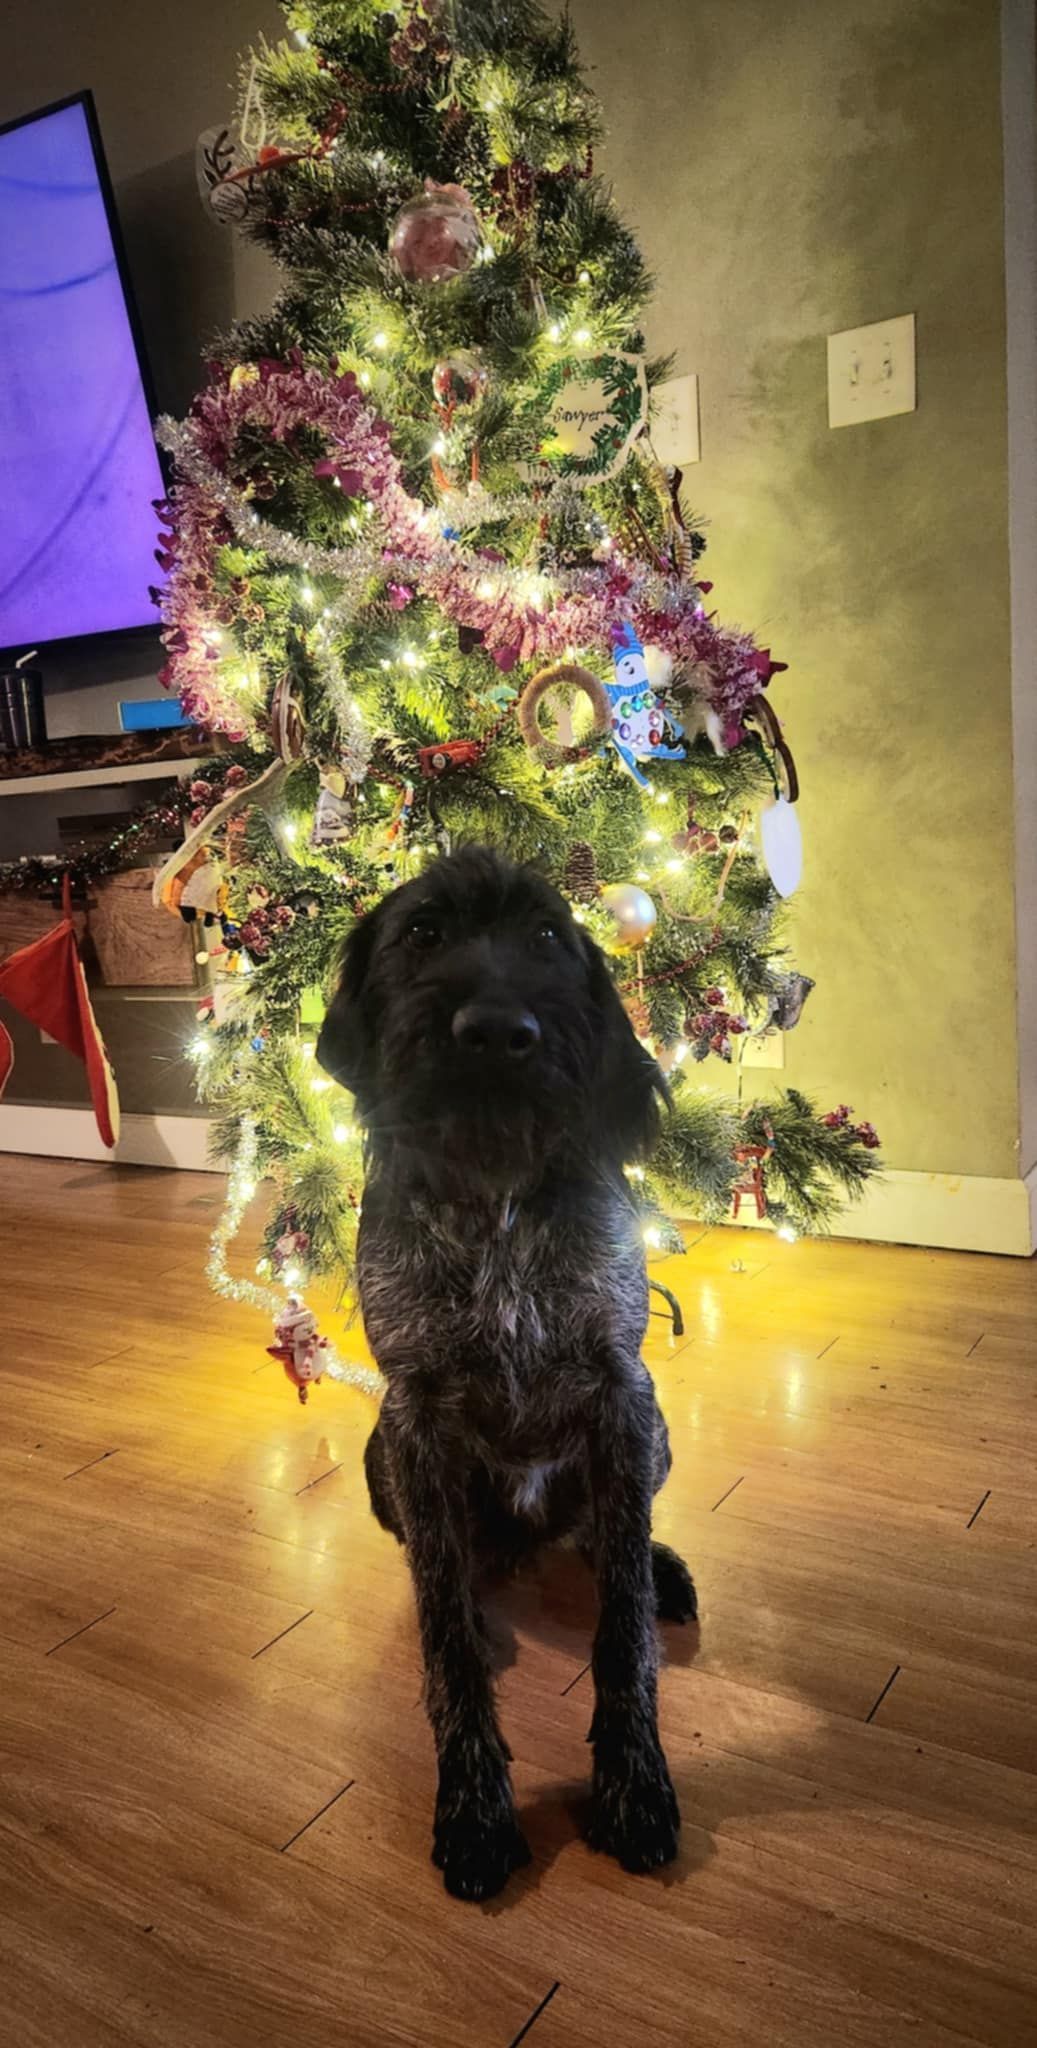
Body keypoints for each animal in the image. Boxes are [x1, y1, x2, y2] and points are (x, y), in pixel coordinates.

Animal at [317, 846, 696, 1901]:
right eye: (422, 934)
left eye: (547, 939)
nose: (494, 1031)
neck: (497, 1201)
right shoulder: (414, 1415)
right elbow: (445, 1633)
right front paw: (475, 1807)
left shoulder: (619, 1393)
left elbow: (623, 1631)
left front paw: (633, 1785)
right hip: (382, 1459)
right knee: (444, 1558)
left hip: (652, 1435)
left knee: (607, 1539)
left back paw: (656, 1567)